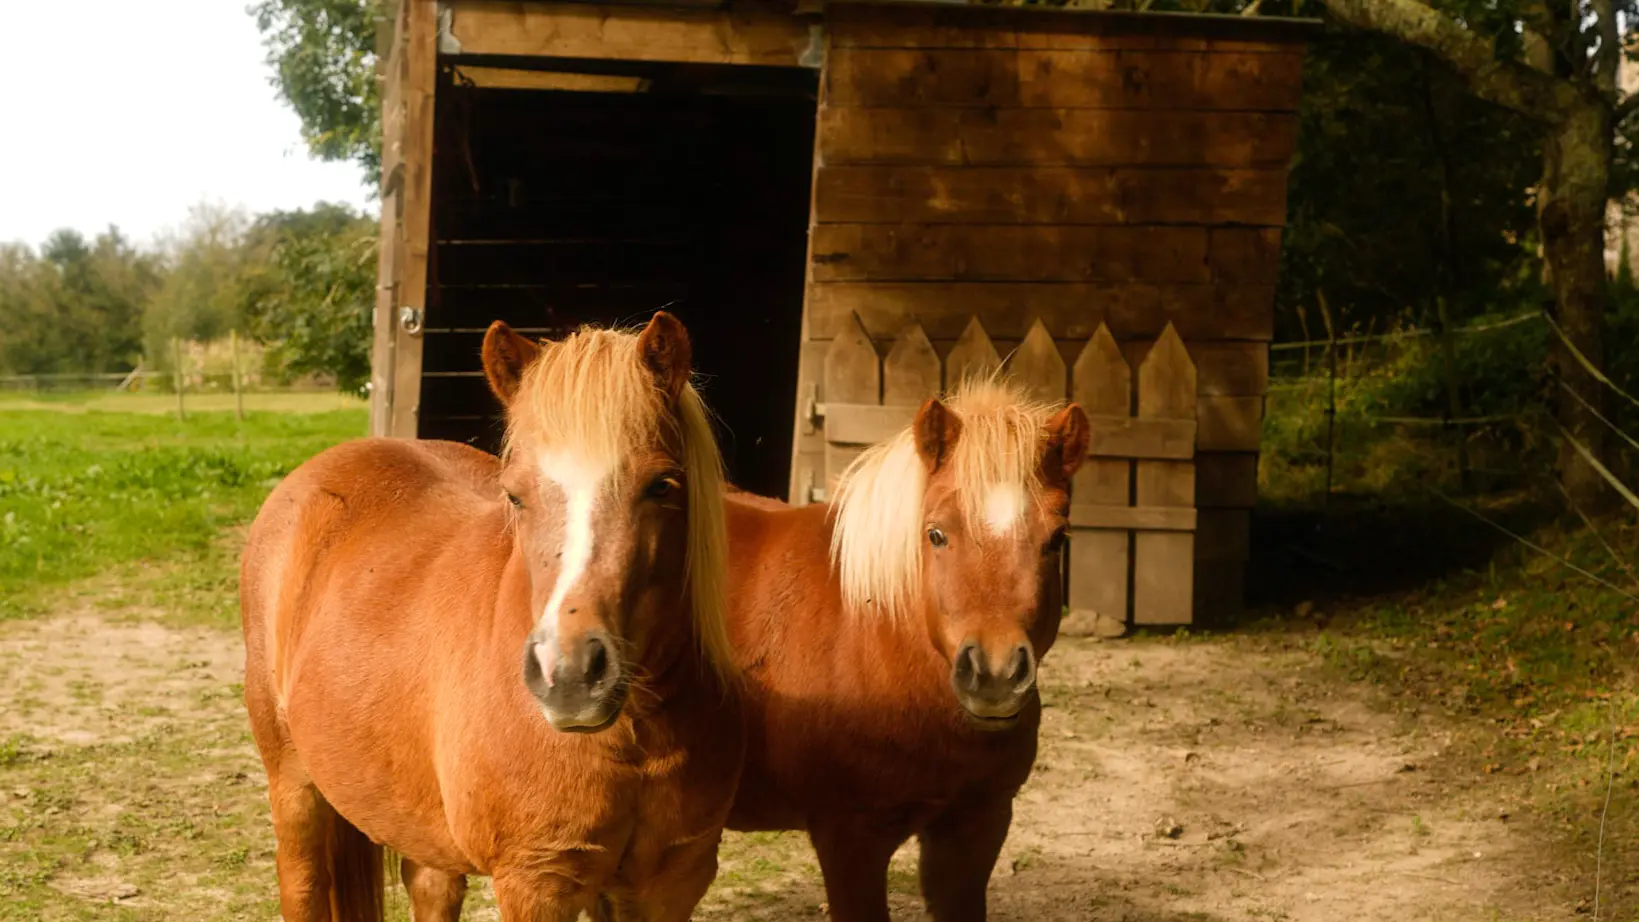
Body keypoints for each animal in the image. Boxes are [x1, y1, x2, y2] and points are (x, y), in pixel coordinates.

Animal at [239, 314, 744, 917]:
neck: (634, 739)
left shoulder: (668, 884)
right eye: (516, 496)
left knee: (430, 884)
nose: (570, 677)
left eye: (662, 485)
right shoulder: (536, 882)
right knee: (303, 882)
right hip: (293, 782)